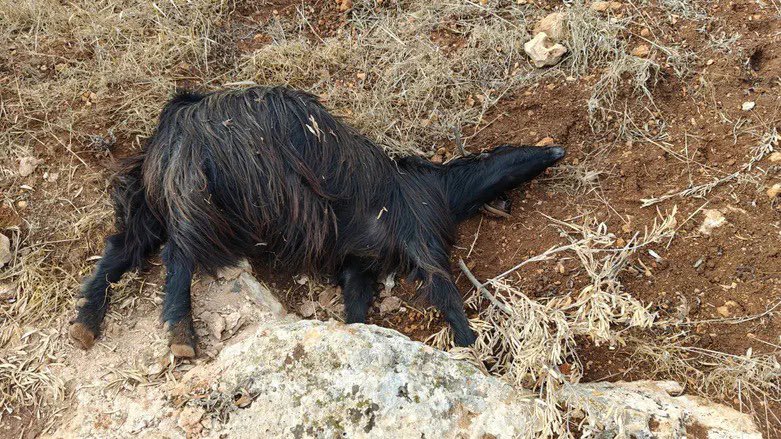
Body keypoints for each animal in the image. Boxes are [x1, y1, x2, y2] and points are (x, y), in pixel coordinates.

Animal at [69, 86, 565, 357]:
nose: (558, 150)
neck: (435, 188)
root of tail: (177, 119)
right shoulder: (420, 238)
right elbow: (445, 291)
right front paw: (468, 344)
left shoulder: (358, 263)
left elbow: (357, 308)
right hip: (204, 198)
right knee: (178, 254)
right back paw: (181, 335)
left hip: (154, 199)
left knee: (121, 248)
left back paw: (86, 324)